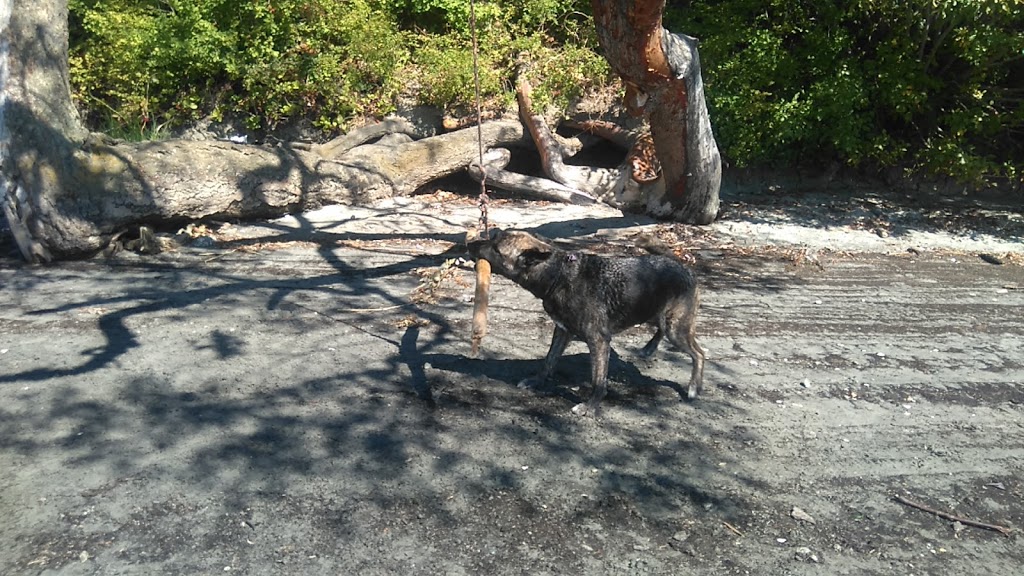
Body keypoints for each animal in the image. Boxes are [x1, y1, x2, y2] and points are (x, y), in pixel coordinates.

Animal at [468, 227, 704, 412]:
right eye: (493, 236)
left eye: (496, 249)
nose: (470, 244)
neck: (559, 275)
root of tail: (681, 264)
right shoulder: (562, 331)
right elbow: (549, 361)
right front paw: (537, 381)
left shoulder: (598, 341)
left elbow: (598, 380)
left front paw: (590, 406)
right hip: (657, 315)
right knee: (662, 330)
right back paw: (649, 348)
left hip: (676, 328)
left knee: (699, 354)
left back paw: (694, 387)